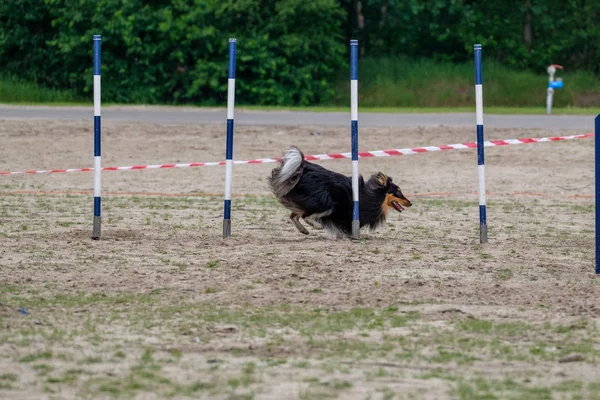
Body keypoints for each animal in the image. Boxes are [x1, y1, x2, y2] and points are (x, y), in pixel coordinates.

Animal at [268, 147, 412, 241]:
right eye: (398, 192)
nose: (410, 203)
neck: (374, 196)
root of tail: (304, 168)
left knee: (294, 215)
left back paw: (304, 230)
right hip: (327, 203)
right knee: (306, 215)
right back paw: (316, 225)